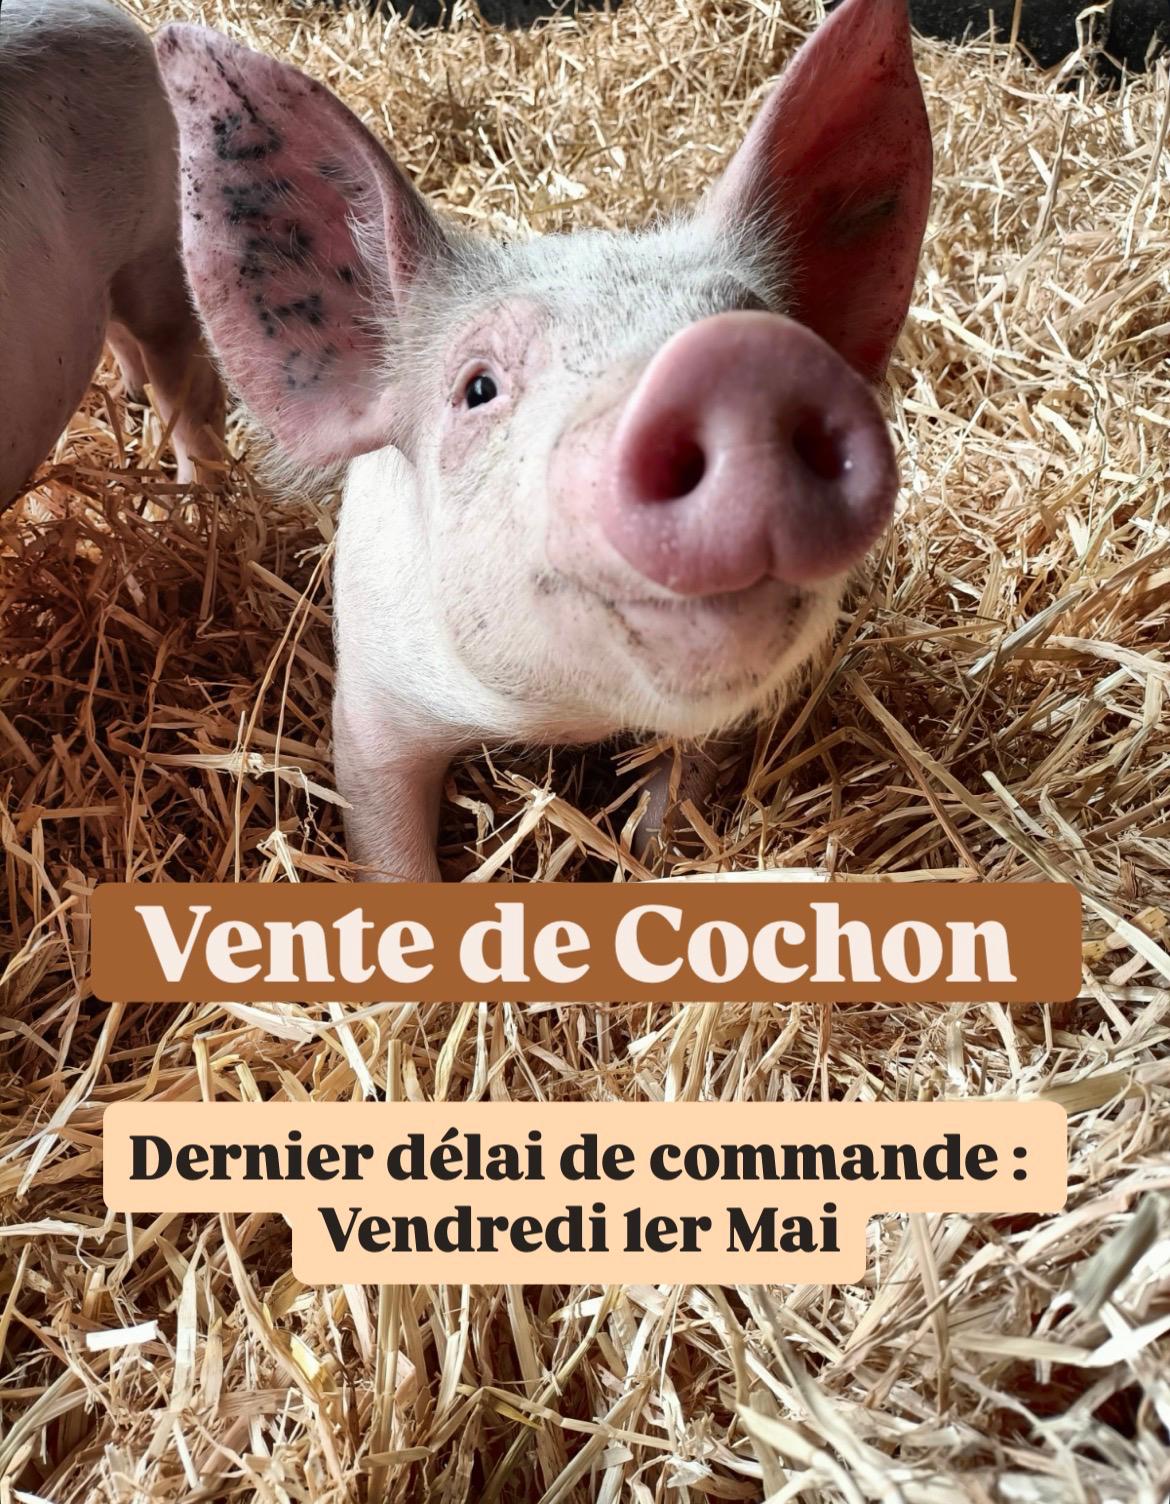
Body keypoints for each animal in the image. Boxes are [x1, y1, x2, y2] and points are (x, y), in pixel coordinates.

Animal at [155, 0, 932, 880]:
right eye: (478, 388)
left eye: (760, 321)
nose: (741, 361)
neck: (568, 720)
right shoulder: (369, 703)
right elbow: (387, 836)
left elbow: (674, 800)